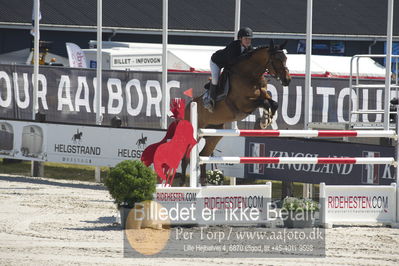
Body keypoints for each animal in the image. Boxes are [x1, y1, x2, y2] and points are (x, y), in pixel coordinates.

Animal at [181, 40, 290, 186]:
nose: (287, 80)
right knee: (186, 157)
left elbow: (273, 103)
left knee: (203, 154)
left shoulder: (264, 95)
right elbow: (265, 103)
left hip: (214, 134)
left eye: (285, 58)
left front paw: (265, 120)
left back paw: (203, 182)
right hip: (196, 131)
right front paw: (264, 121)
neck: (250, 76)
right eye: (276, 60)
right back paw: (181, 184)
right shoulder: (244, 104)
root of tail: (188, 106)